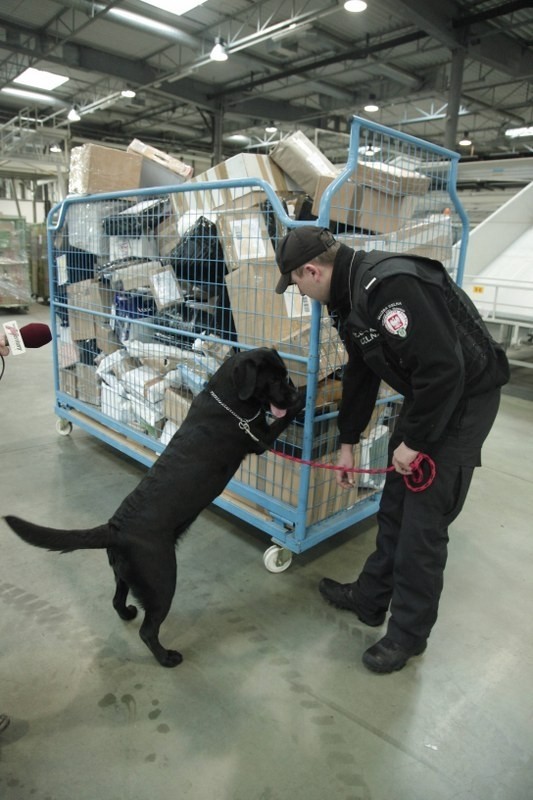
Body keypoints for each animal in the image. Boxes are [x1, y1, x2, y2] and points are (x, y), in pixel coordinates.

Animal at [4, 346, 304, 664]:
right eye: (274, 379)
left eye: (285, 375)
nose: (291, 392)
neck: (227, 399)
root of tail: (114, 528)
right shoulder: (259, 438)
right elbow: (281, 420)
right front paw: (302, 399)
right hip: (162, 580)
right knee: (148, 630)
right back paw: (167, 658)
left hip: (125, 575)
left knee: (117, 600)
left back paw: (128, 613)